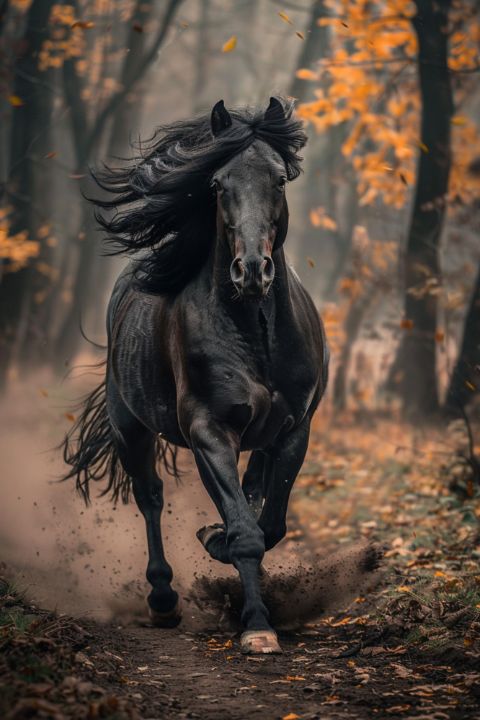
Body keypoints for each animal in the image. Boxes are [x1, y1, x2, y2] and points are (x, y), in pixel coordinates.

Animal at [62, 97, 329, 654]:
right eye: (217, 184)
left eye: (279, 179)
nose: (252, 270)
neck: (255, 332)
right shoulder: (209, 431)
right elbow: (246, 531)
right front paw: (256, 624)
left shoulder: (294, 430)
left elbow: (269, 522)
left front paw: (221, 546)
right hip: (130, 429)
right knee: (150, 498)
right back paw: (163, 599)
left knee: (252, 491)